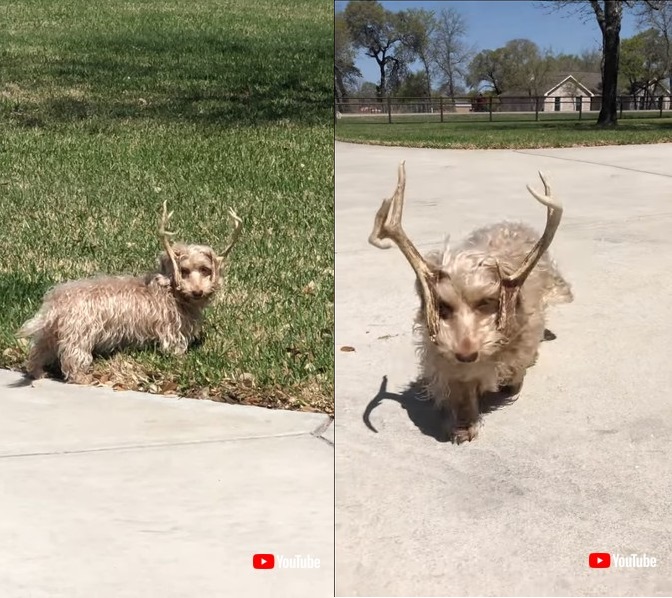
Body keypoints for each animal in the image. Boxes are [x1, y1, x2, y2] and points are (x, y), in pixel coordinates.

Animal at [16, 204, 244, 386]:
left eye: (205, 269)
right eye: (185, 270)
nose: (198, 291)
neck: (170, 291)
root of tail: (55, 302)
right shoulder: (172, 333)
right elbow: (175, 350)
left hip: (49, 335)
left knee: (36, 354)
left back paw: (38, 373)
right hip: (79, 336)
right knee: (72, 360)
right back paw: (83, 378)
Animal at [368, 164, 572, 446]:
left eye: (487, 302)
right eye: (443, 306)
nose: (466, 354)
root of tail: (509, 223)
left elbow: (515, 369)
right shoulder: (447, 361)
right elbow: (461, 389)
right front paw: (464, 425)